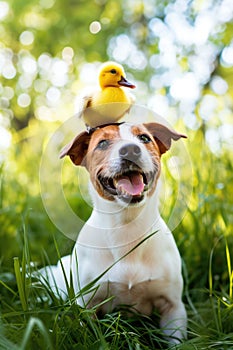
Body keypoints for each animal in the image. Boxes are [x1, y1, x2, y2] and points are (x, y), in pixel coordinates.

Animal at [42, 121, 187, 344]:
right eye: (102, 143)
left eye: (144, 138)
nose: (130, 149)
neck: (126, 227)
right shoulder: (87, 306)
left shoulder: (173, 307)